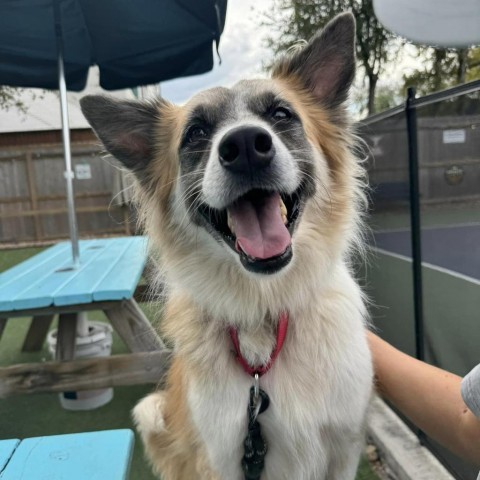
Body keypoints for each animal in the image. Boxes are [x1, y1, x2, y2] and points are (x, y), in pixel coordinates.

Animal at [80, 12, 374, 480]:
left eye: (281, 113)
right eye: (196, 132)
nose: (246, 147)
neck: (264, 313)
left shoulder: (344, 450)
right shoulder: (221, 457)